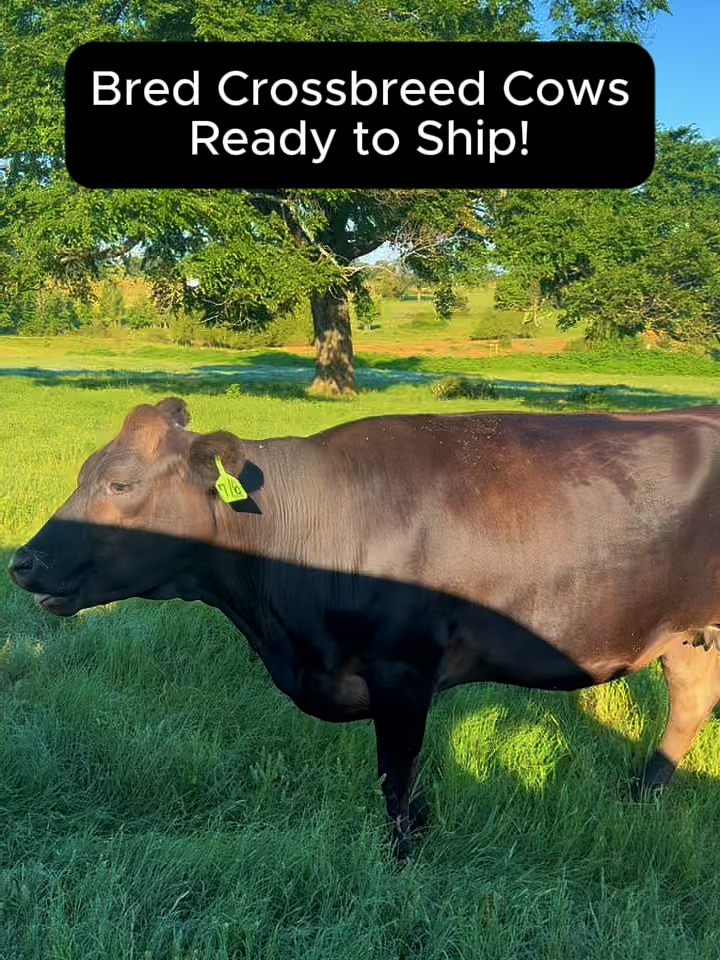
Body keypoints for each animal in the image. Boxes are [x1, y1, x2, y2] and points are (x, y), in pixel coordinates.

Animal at [9, 397, 720, 859]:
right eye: (85, 472)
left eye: (120, 483)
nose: (22, 562)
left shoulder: (402, 666)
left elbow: (395, 769)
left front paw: (403, 853)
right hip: (689, 637)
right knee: (689, 704)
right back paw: (641, 796)